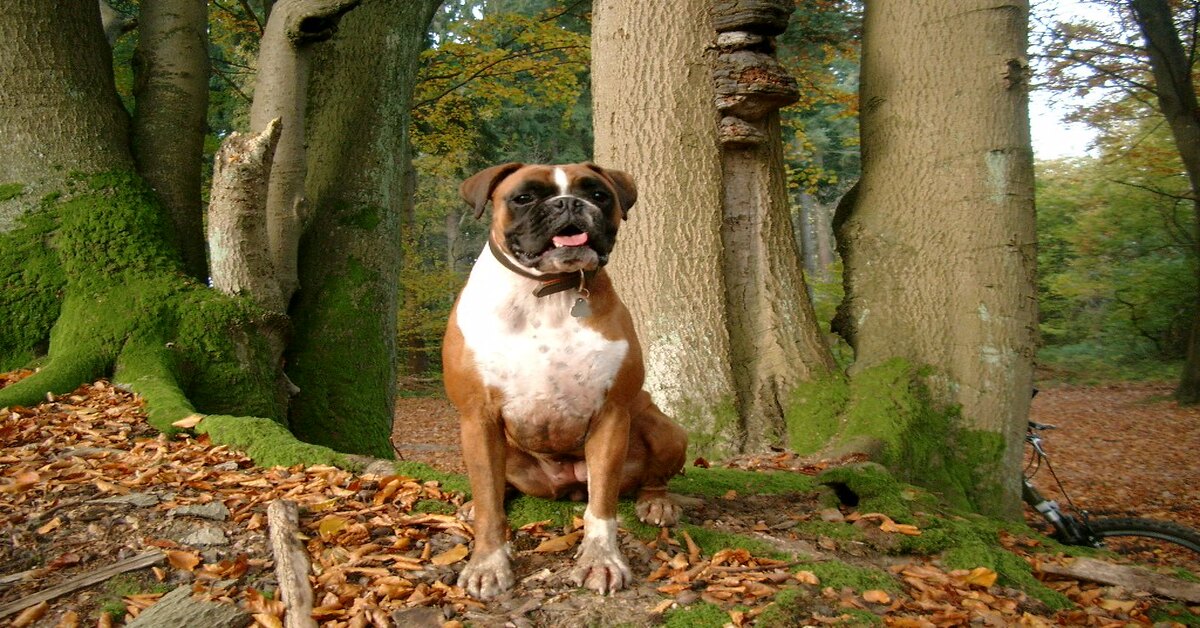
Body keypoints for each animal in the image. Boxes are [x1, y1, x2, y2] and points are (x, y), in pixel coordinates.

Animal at [444, 162, 691, 600]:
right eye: (524, 197)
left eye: (597, 195)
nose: (569, 204)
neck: (547, 292)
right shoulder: (478, 418)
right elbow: (490, 506)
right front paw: (488, 563)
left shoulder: (611, 416)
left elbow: (602, 509)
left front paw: (601, 561)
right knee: (497, 487)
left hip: (664, 427)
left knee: (650, 477)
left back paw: (657, 502)